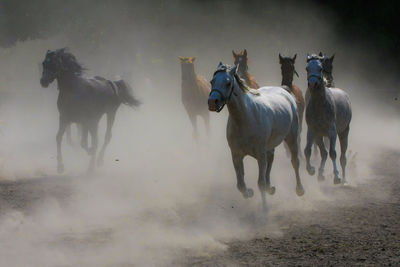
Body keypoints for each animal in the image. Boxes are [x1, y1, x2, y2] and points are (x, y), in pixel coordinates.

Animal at [208, 63, 304, 211]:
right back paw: (271, 188)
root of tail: (284, 91)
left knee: (295, 162)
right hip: (269, 146)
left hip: (292, 138)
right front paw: (249, 193)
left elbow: (260, 183)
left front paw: (265, 209)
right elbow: (240, 184)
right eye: (212, 81)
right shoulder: (236, 155)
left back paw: (299, 189)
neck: (245, 118)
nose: (212, 102)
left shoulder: (260, 154)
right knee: (271, 159)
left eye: (228, 83)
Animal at [304, 54, 352, 184]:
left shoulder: (332, 131)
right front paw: (311, 170)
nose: (312, 84)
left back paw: (344, 179)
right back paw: (320, 174)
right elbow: (308, 150)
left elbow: (333, 153)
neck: (319, 105)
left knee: (342, 157)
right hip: (319, 135)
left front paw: (337, 177)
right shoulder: (312, 130)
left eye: (320, 68)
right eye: (307, 68)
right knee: (324, 153)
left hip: (344, 132)